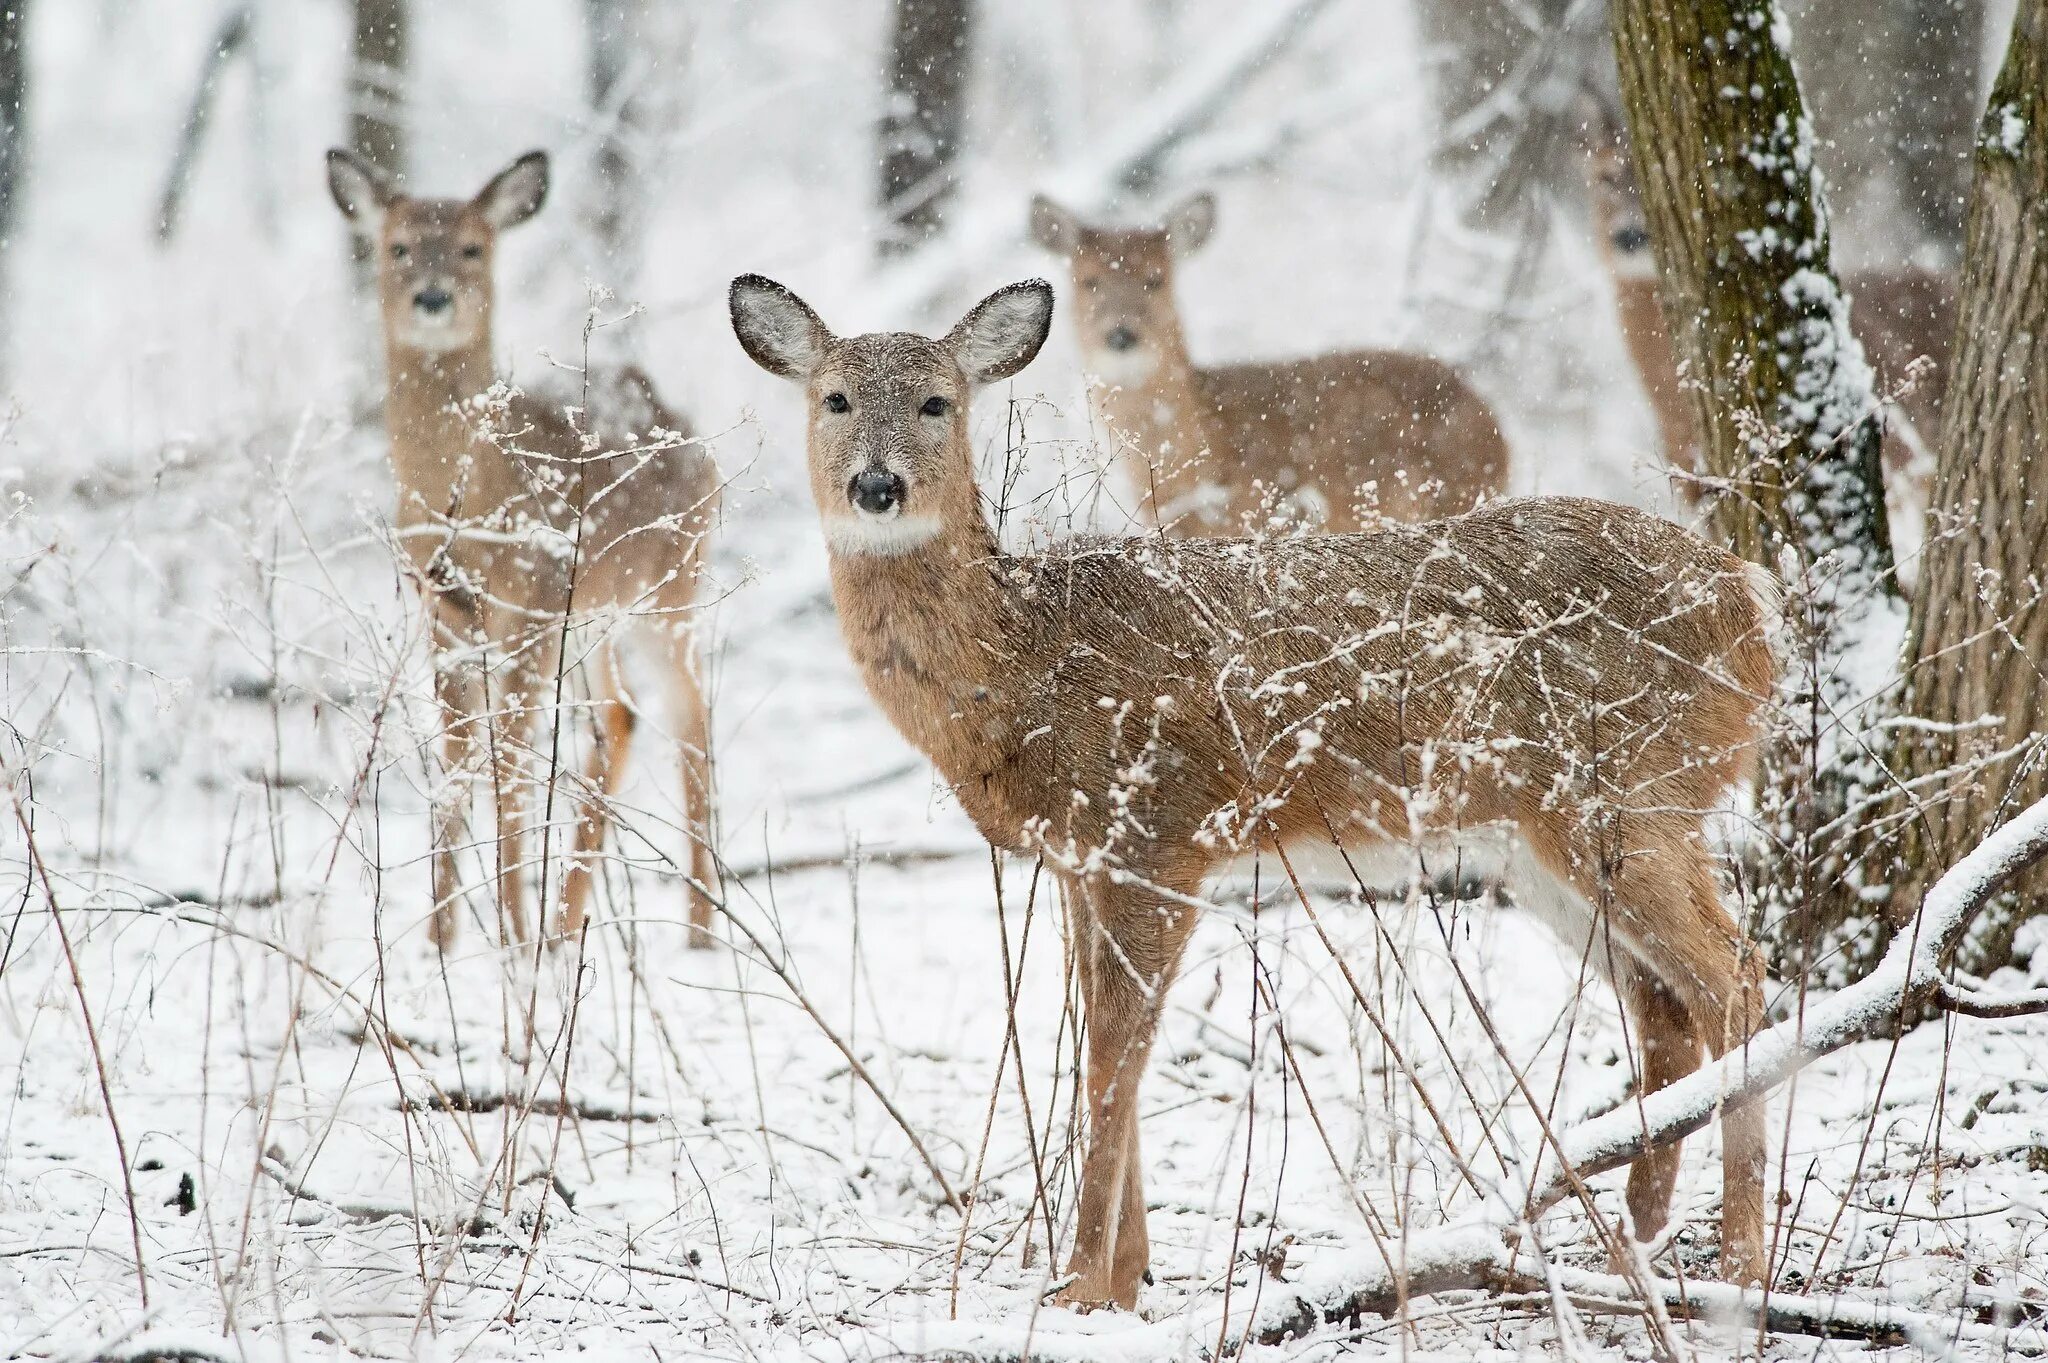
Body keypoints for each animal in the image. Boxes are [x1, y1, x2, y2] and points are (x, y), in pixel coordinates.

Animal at [327, 148, 720, 949]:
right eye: (398, 246)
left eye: (474, 247)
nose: (434, 298)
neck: (474, 497)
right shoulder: (444, 612)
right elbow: (457, 762)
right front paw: (443, 941)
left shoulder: (534, 605)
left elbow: (507, 763)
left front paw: (509, 934)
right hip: (596, 613)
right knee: (620, 718)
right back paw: (568, 921)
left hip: (668, 589)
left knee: (691, 718)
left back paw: (697, 933)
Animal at [733, 274, 1777, 1309]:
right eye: (834, 398)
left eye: (936, 402)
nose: (878, 487)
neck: (1024, 660)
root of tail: (1755, 603)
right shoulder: (1084, 860)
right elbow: (1103, 1041)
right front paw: (1127, 1277)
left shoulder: (1160, 832)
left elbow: (1113, 1058)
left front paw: (1080, 1290)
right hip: (1535, 842)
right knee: (1664, 1005)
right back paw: (1633, 1248)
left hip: (1630, 789)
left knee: (1735, 974)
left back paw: (1740, 1269)